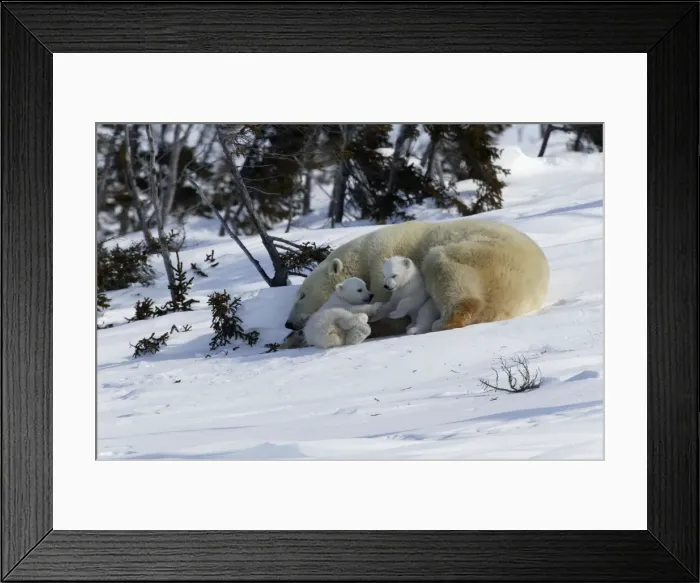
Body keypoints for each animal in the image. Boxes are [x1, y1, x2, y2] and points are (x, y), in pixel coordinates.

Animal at [284, 218, 550, 336]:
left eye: (302, 295)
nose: (288, 323)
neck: (362, 256)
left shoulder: (382, 265)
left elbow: (389, 310)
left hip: (479, 255)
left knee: (445, 269)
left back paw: (442, 322)